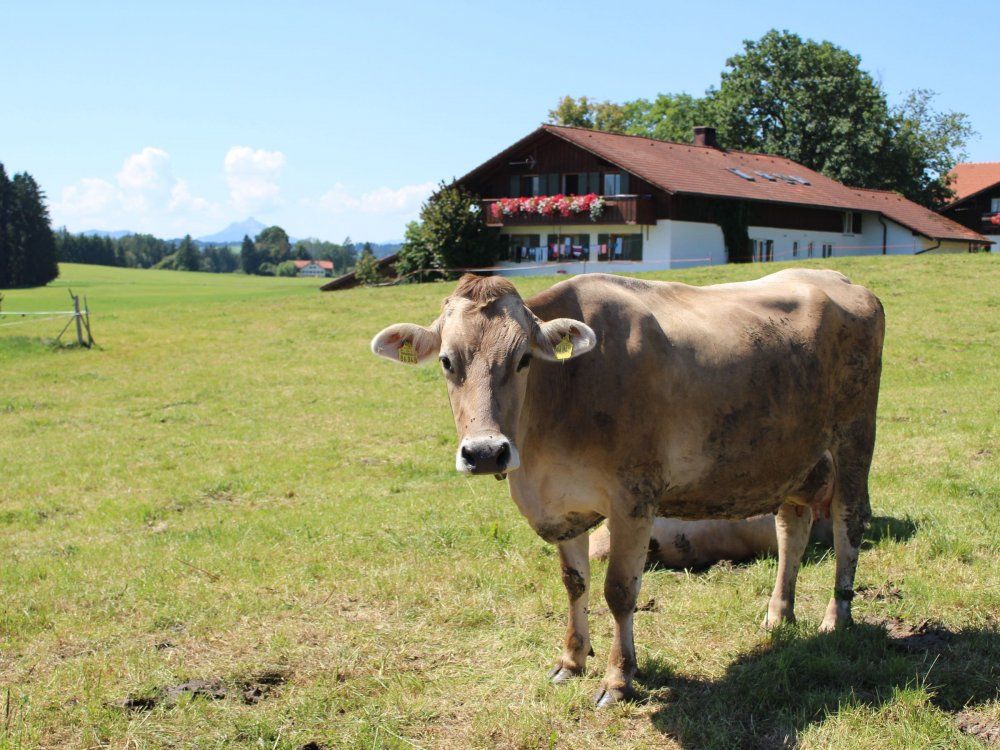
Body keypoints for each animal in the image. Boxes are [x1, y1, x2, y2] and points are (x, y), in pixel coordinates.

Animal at [370, 269, 884, 707]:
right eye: (446, 361)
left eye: (523, 360)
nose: (485, 452)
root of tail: (842, 280)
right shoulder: (563, 505)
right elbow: (574, 582)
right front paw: (571, 660)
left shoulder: (634, 499)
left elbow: (618, 591)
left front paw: (619, 679)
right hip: (791, 458)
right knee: (791, 530)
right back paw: (778, 615)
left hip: (854, 439)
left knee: (848, 525)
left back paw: (836, 618)